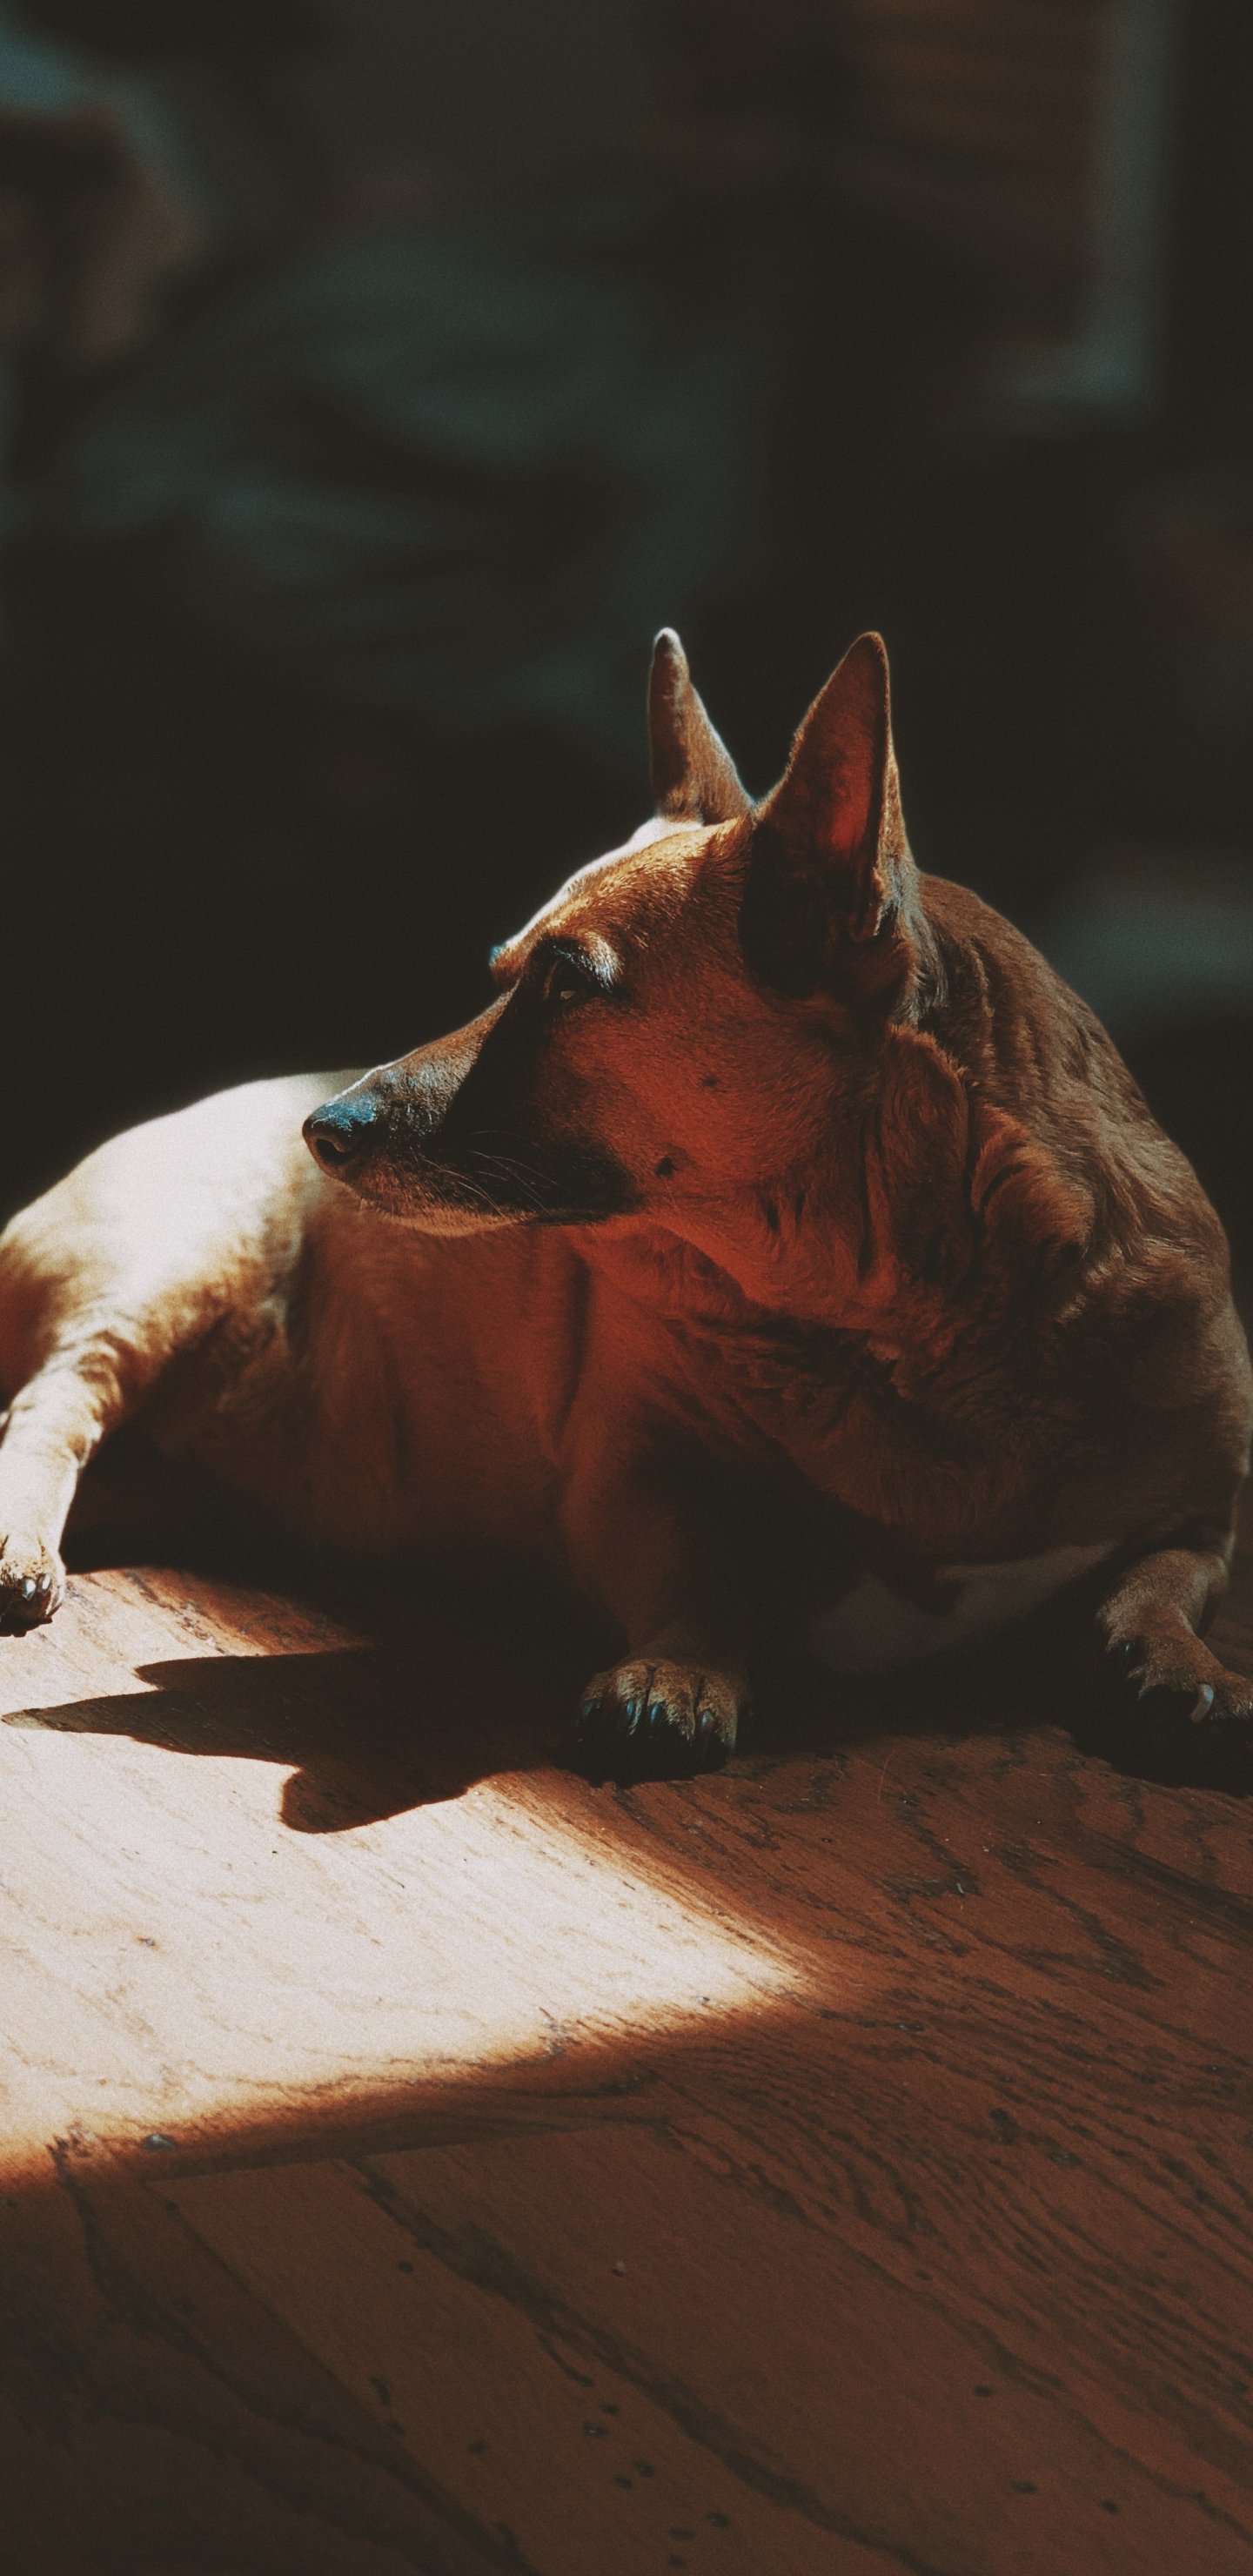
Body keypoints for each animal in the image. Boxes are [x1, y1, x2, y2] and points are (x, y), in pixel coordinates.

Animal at [0, 629, 1249, 1781]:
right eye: (504, 972)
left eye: (563, 984)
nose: (325, 1131)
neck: (896, 1320)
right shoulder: (635, 1468)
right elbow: (700, 1566)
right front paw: (683, 1669)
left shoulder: (1202, 1505)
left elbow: (1159, 1583)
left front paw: (1179, 1668)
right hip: (167, 1263)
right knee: (54, 1404)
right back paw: (22, 1535)